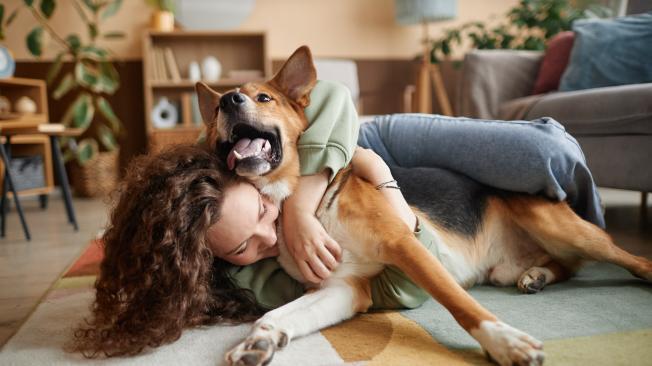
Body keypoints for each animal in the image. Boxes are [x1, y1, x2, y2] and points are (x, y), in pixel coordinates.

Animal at [195, 45, 652, 366]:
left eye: (264, 98)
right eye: (218, 108)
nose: (230, 100)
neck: (303, 204)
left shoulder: (404, 245)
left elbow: (462, 305)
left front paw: (504, 342)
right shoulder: (341, 287)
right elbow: (282, 314)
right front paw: (260, 339)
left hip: (561, 226)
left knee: (625, 259)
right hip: (512, 265)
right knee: (564, 266)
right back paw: (537, 275)